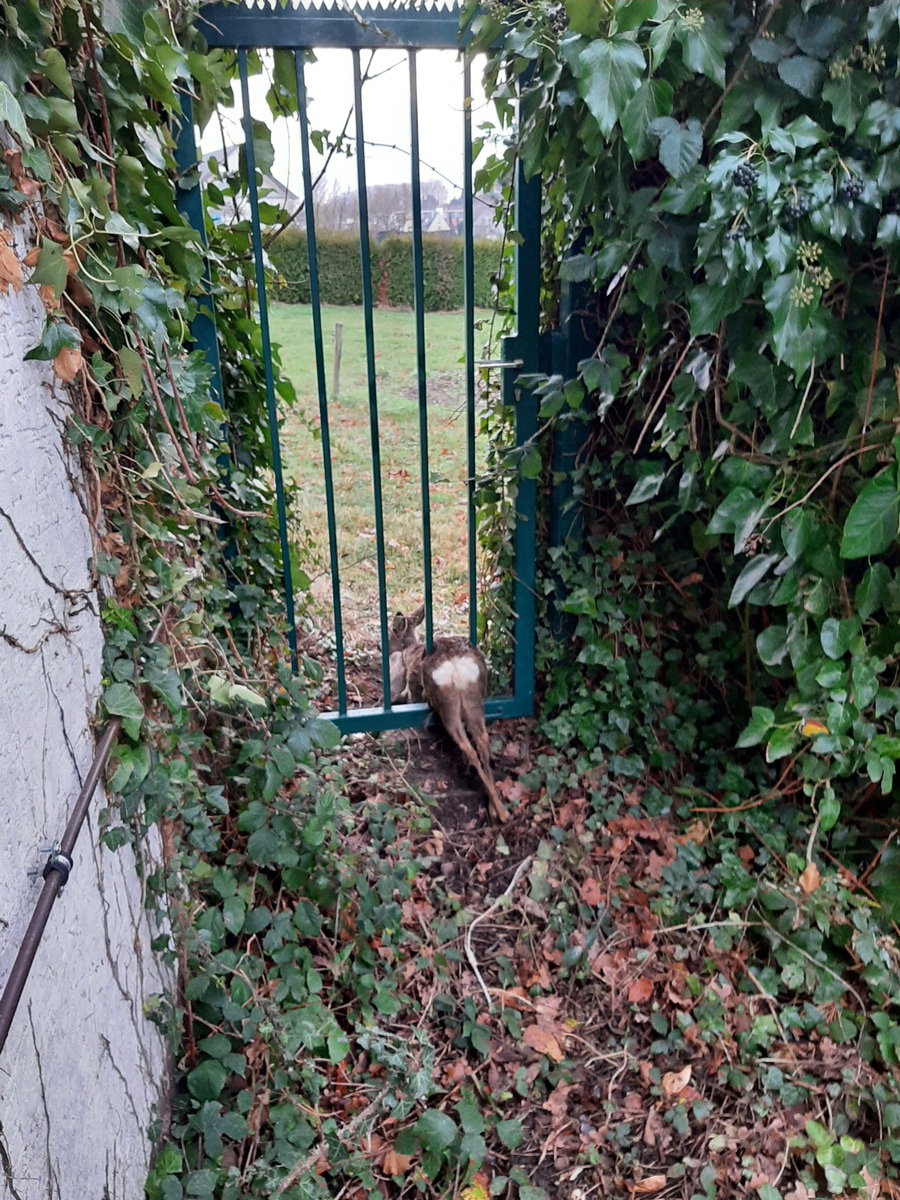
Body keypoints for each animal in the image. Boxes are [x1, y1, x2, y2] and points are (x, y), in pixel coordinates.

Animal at [391, 609, 511, 825]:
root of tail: (455, 661)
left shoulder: (412, 688)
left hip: (445, 701)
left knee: (467, 745)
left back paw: (500, 811)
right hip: (474, 696)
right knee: (482, 739)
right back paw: (497, 809)